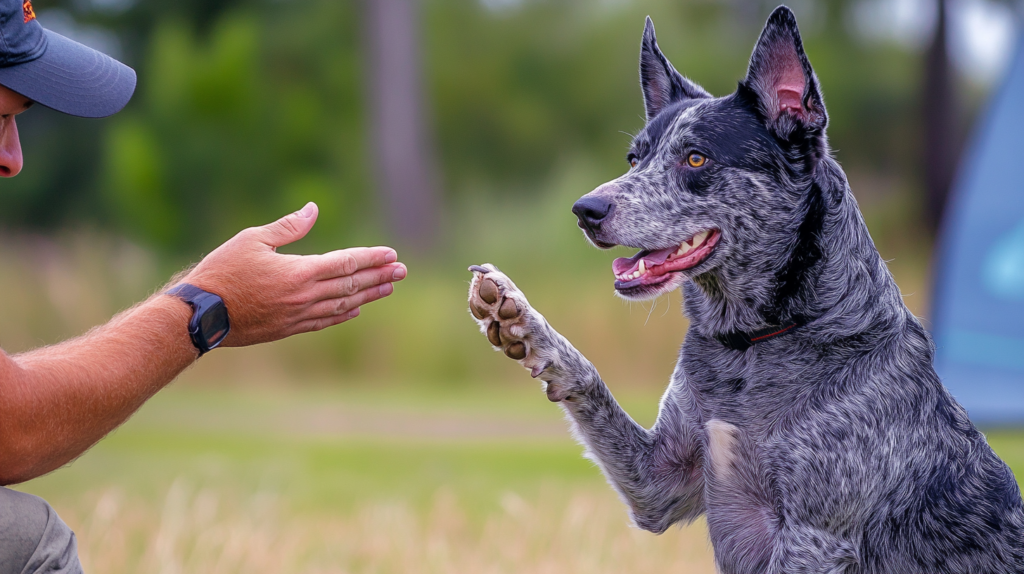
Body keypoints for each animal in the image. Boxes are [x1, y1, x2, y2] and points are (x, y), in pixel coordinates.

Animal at [468, 5, 1019, 572]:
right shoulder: (658, 482)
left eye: (695, 158)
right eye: (634, 159)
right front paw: (518, 318)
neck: (754, 343)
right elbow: (587, 377)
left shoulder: (814, 538)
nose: (585, 210)